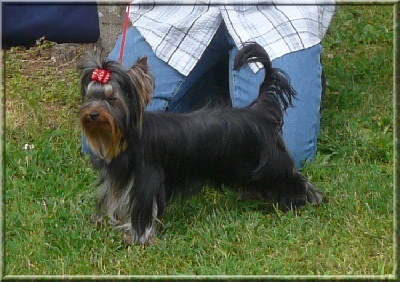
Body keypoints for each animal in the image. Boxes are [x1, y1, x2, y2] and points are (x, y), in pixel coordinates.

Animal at [79, 41, 324, 245]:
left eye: (112, 100)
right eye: (90, 97)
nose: (92, 114)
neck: (124, 137)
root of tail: (259, 109)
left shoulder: (146, 180)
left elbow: (143, 212)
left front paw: (138, 238)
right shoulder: (119, 178)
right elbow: (115, 199)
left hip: (271, 163)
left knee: (292, 178)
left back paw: (306, 199)